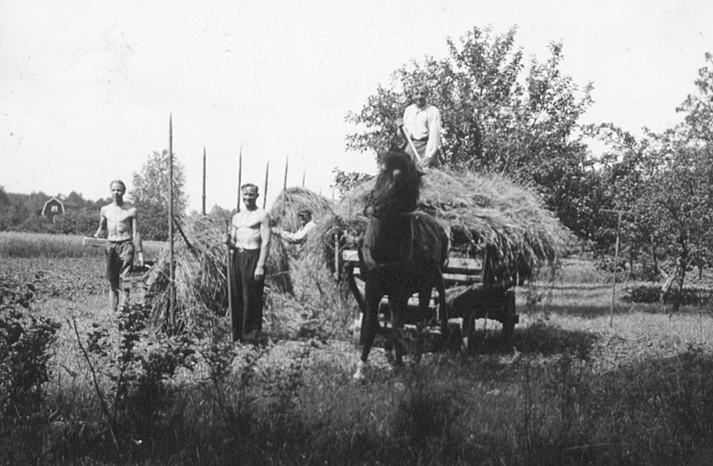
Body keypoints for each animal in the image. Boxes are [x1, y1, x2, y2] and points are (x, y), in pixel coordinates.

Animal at [354, 149, 448, 378]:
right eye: (381, 172)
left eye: (401, 179)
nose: (376, 206)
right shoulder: (373, 287)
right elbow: (372, 324)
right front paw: (361, 369)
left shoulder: (400, 291)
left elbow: (398, 326)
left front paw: (400, 365)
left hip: (425, 288)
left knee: (420, 323)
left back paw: (414, 359)